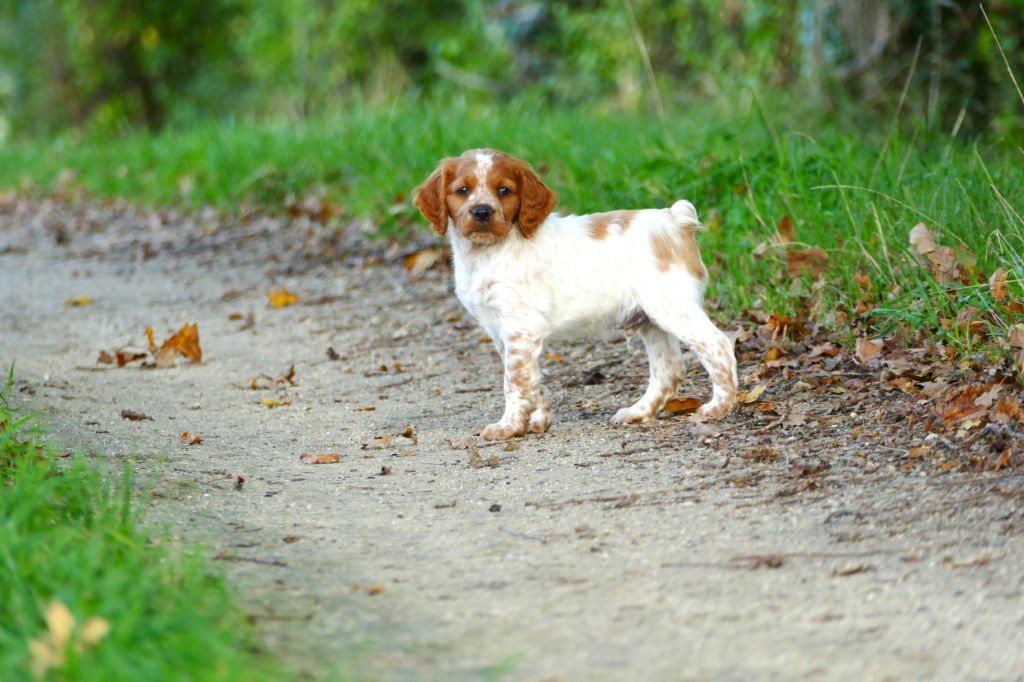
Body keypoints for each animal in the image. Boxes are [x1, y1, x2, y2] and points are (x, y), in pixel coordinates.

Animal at [413, 147, 737, 440]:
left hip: (671, 306)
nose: (482, 211)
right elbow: (531, 380)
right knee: (669, 369)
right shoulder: (504, 333)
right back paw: (637, 412)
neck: (489, 252)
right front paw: (538, 421)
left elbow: (513, 382)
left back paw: (717, 408)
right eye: (462, 190)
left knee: (718, 345)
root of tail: (674, 220)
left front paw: (508, 427)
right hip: (649, 318)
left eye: (504, 190)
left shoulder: (520, 328)